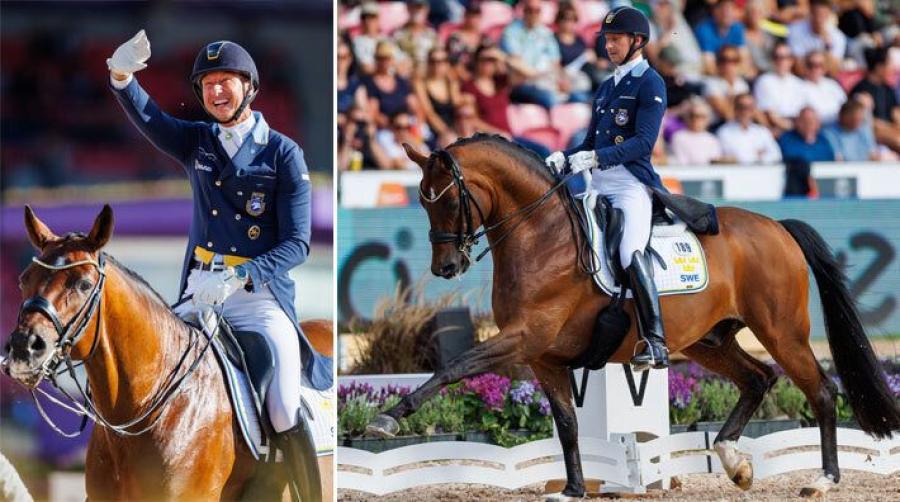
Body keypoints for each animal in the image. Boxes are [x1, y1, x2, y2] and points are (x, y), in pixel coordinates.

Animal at [364, 134, 900, 499]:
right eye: (420, 201)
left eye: (450, 199)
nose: (445, 267)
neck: (541, 235)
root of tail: (775, 226)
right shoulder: (544, 357)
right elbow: (567, 424)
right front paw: (572, 489)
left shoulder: (523, 336)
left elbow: (455, 366)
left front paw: (387, 420)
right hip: (709, 341)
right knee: (757, 379)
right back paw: (735, 463)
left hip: (780, 330)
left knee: (821, 391)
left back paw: (823, 479)